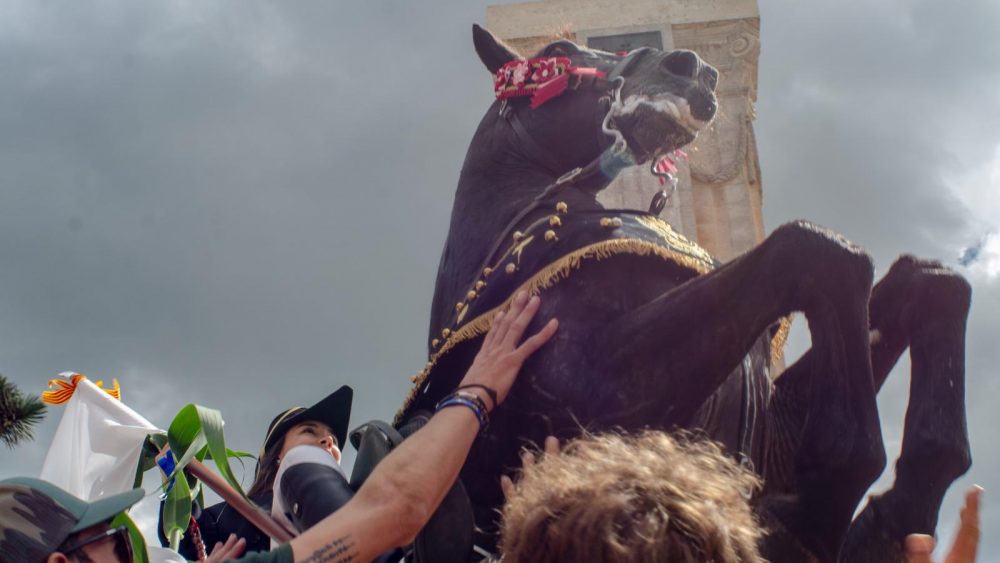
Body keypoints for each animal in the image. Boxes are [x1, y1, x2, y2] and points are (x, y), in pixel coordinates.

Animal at [396, 26, 968, 563]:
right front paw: (824, 509)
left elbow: (929, 283)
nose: (692, 68)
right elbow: (817, 250)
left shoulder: (768, 432)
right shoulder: (597, 390)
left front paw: (897, 510)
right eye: (556, 50)